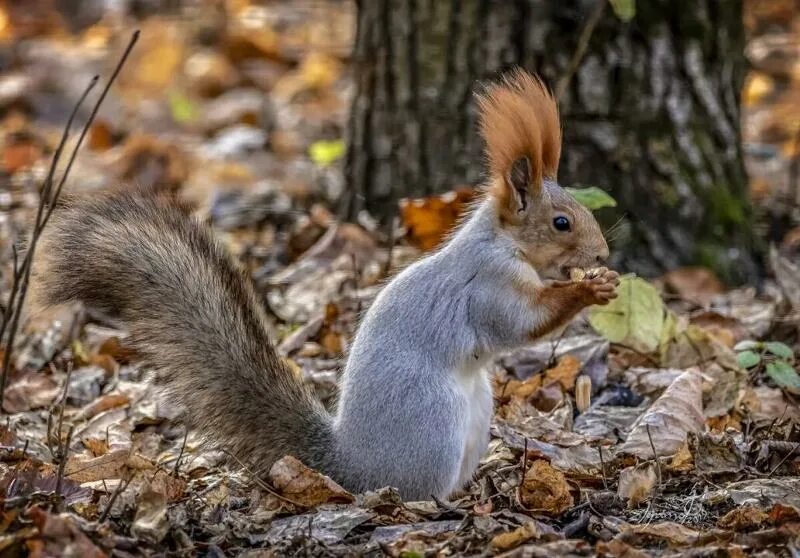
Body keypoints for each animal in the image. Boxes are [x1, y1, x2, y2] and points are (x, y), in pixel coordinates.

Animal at [31, 70, 620, 504]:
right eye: (562, 223)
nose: (603, 256)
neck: (503, 244)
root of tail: (349, 466)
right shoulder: (486, 286)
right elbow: (520, 324)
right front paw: (588, 291)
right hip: (435, 423)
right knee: (411, 491)